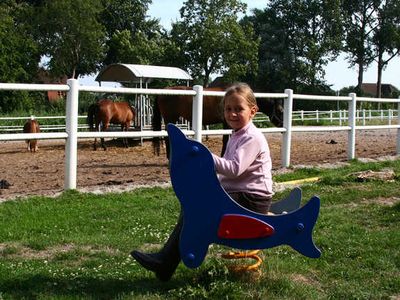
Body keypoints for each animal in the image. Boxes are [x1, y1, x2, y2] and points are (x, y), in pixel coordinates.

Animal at [152, 85, 284, 158]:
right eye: (280, 111)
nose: (283, 126)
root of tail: (163, 91)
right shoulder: (226, 123)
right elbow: (225, 139)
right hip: (170, 118)